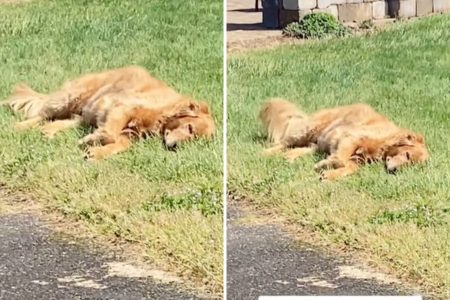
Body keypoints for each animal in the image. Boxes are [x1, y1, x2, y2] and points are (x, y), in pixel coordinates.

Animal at [1, 65, 215, 159]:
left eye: (195, 140)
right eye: (190, 128)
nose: (176, 147)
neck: (164, 111)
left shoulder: (130, 134)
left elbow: (119, 144)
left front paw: (96, 152)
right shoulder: (122, 107)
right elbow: (110, 133)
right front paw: (93, 140)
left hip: (84, 113)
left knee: (63, 121)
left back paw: (49, 132)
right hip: (69, 98)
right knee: (41, 114)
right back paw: (19, 127)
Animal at [260, 99, 428, 180]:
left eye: (412, 166)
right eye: (407, 155)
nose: (396, 171)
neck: (385, 142)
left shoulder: (358, 159)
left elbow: (349, 168)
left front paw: (329, 175)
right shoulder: (350, 137)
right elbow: (340, 159)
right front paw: (327, 164)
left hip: (317, 143)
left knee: (302, 149)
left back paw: (289, 157)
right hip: (307, 130)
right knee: (283, 143)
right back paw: (265, 153)